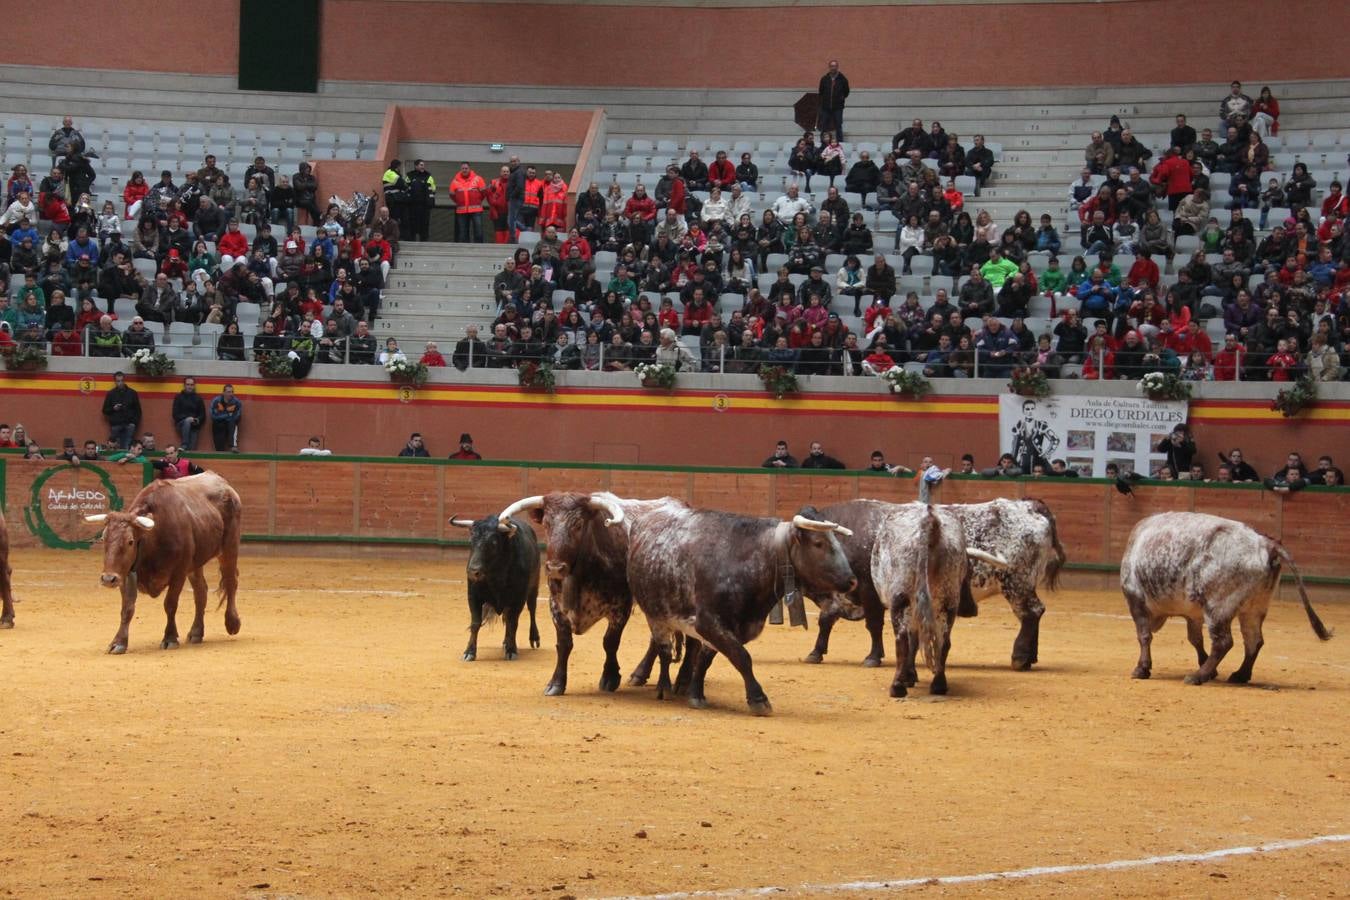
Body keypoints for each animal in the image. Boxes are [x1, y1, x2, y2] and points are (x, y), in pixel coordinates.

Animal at [84, 472, 243, 655]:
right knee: (201, 592)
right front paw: (118, 642)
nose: (108, 579)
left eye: (130, 541)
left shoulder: (179, 573)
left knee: (231, 582)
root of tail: (224, 484)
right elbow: (127, 608)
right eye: (103, 538)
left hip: (229, 547)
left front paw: (170, 638)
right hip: (195, 562)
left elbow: (170, 604)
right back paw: (196, 632)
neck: (153, 538)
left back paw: (232, 623)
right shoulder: (125, 574)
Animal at [496, 493, 685, 696]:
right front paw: (556, 683)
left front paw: (610, 677)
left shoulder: (620, 608)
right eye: (546, 524)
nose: (555, 568)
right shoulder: (557, 608)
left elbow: (610, 642)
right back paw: (639, 675)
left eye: (578, 524)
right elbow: (564, 645)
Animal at [623, 507, 853, 717]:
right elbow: (741, 657)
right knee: (664, 649)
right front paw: (758, 699)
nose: (852, 581)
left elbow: (705, 659)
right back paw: (664, 687)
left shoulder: (726, 628)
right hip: (655, 614)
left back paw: (680, 683)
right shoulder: (709, 623)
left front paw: (696, 693)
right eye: (819, 543)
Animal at [1117, 510, 1328, 685]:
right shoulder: (1193, 614)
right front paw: (1209, 668)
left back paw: (1197, 676)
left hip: (1217, 608)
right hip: (1255, 607)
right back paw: (1240, 675)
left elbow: (1144, 636)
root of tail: (1266, 544)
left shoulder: (1135, 600)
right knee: (1253, 640)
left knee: (1223, 642)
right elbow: (1195, 639)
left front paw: (1142, 668)